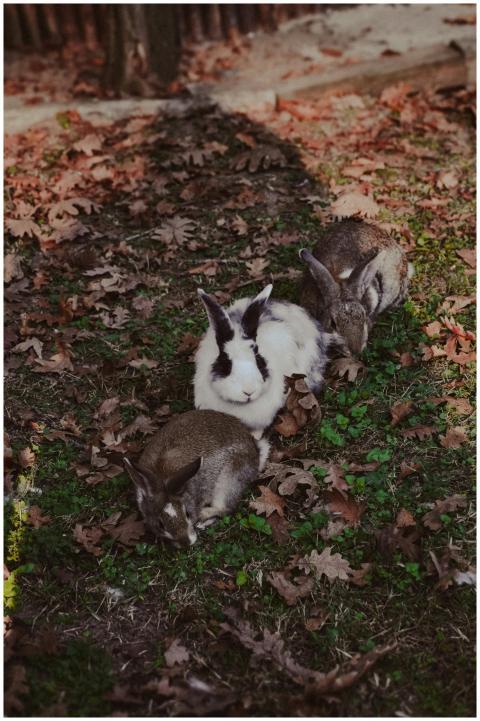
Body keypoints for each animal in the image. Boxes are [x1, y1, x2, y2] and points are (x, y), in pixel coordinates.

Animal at [123, 409, 260, 547]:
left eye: (187, 514)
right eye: (160, 525)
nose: (186, 542)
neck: (163, 476)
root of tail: (256, 453)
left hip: (228, 479)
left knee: (226, 508)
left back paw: (204, 516)